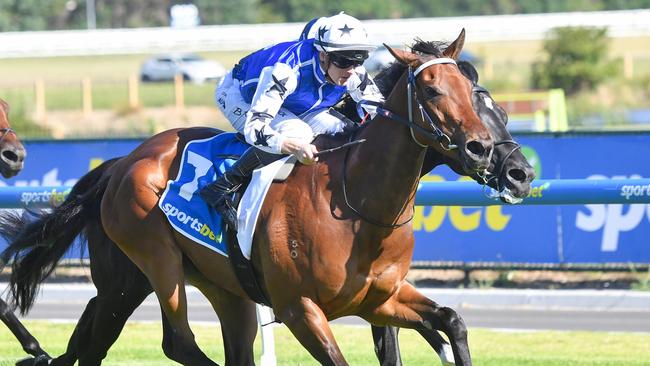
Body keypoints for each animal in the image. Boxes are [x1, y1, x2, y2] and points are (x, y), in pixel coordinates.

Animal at [1, 33, 528, 364]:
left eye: (488, 101)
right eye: (434, 90)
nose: (516, 171)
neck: (358, 206)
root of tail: (121, 164)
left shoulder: (379, 299)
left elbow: (451, 322)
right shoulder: (300, 309)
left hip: (191, 286)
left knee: (97, 342)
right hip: (153, 264)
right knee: (177, 342)